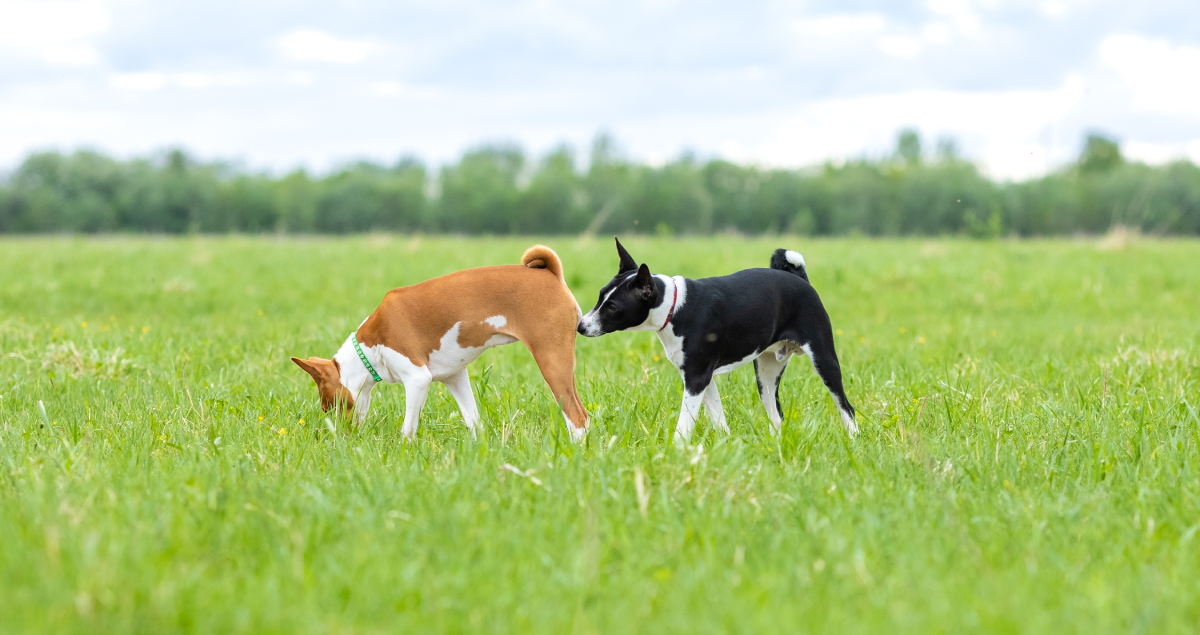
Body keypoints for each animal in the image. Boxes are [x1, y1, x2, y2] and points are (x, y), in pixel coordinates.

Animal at [291, 244, 590, 439]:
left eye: (329, 405)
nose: (339, 435)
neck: (369, 348)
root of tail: (550, 273)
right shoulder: (454, 377)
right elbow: (473, 421)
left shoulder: (417, 379)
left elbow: (408, 429)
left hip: (551, 360)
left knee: (578, 418)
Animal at [578, 237, 854, 441]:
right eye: (601, 295)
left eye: (613, 307)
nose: (580, 326)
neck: (675, 307)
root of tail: (799, 278)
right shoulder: (703, 377)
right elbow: (718, 417)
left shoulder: (696, 378)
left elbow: (684, 425)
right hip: (766, 374)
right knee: (777, 416)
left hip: (823, 359)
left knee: (846, 407)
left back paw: (853, 441)